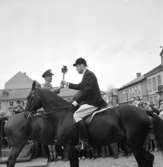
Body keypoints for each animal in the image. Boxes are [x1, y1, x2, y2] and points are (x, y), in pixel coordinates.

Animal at [3, 82, 163, 167]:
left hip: (135, 144)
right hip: (135, 144)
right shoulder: (70, 148)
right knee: (148, 159)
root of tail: (145, 111)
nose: (26, 115)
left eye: (30, 97)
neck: (62, 114)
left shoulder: (70, 147)